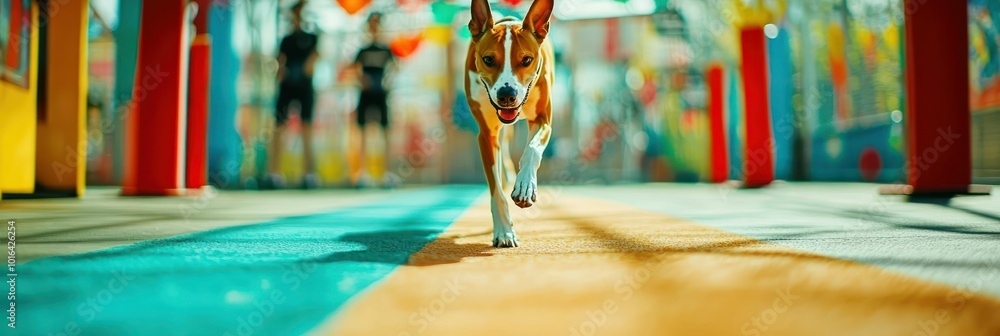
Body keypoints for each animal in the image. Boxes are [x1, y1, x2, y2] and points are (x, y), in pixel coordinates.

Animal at [462, 0, 556, 247]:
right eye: (488, 60)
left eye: (526, 60)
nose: (507, 95)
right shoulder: (486, 135)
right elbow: (496, 190)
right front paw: (504, 232)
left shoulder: (543, 120)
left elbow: (532, 149)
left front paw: (525, 186)